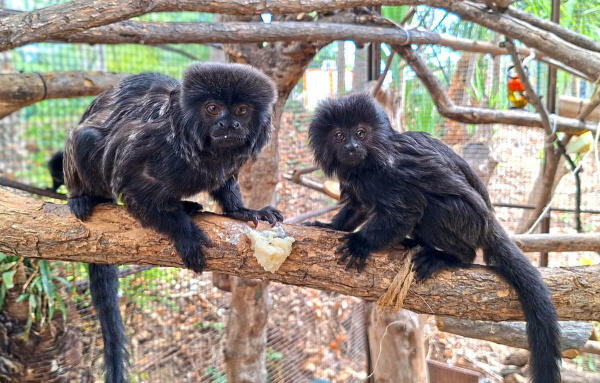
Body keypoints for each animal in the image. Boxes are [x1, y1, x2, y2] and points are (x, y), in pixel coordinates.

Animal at [61, 62, 284, 380]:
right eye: (213, 109)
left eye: (242, 111)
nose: (229, 125)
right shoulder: (147, 144)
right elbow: (130, 186)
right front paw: (184, 233)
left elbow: (225, 184)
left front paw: (242, 210)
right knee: (85, 138)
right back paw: (83, 197)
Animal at [308, 93, 560, 383]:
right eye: (339, 136)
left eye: (361, 133)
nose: (351, 147)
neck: (367, 164)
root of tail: (487, 221)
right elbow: (358, 207)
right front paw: (329, 226)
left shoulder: (392, 174)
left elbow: (406, 211)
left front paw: (360, 243)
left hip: (466, 221)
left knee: (436, 211)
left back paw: (448, 257)